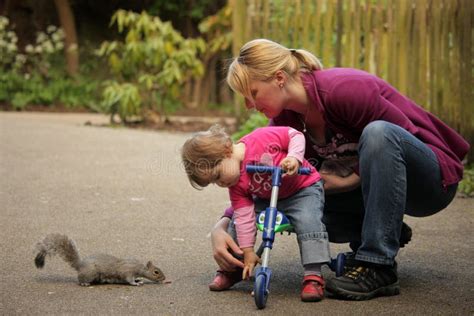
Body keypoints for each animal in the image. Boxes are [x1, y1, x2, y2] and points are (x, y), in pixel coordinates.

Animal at [34, 232, 165, 286]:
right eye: (156, 272)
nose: (164, 278)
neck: (139, 268)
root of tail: (80, 265)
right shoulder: (127, 271)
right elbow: (128, 279)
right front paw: (136, 283)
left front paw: (139, 280)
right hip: (91, 273)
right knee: (80, 279)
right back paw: (84, 283)